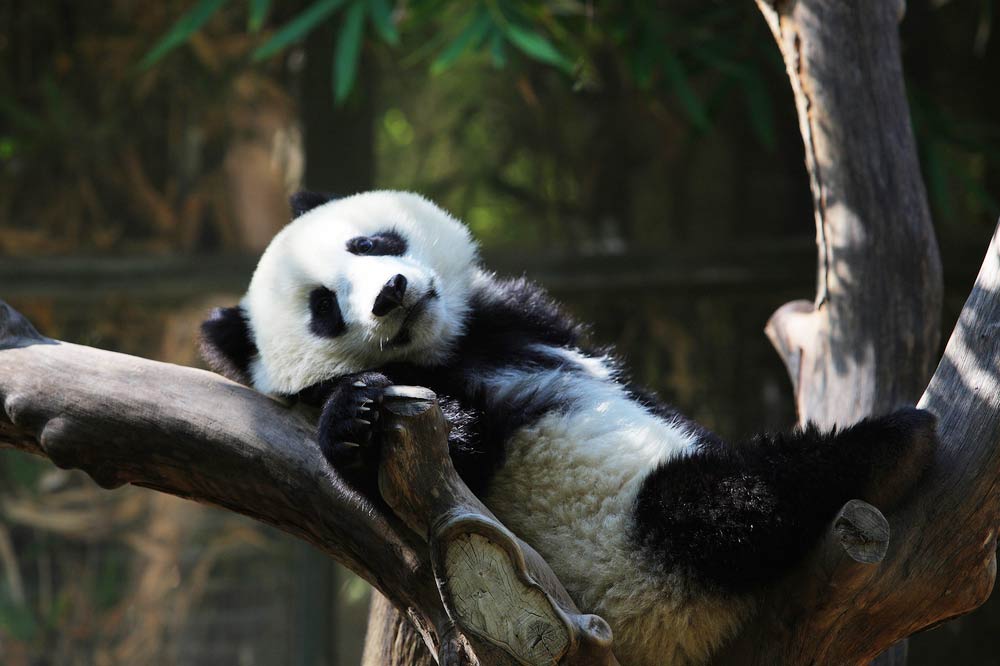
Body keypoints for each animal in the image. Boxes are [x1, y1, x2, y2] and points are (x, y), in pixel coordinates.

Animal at [201, 188, 936, 664]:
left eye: (371, 243)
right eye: (324, 309)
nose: (390, 294)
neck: (448, 347)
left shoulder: (526, 317)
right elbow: (429, 472)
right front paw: (358, 418)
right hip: (646, 564)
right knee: (724, 504)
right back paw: (890, 445)